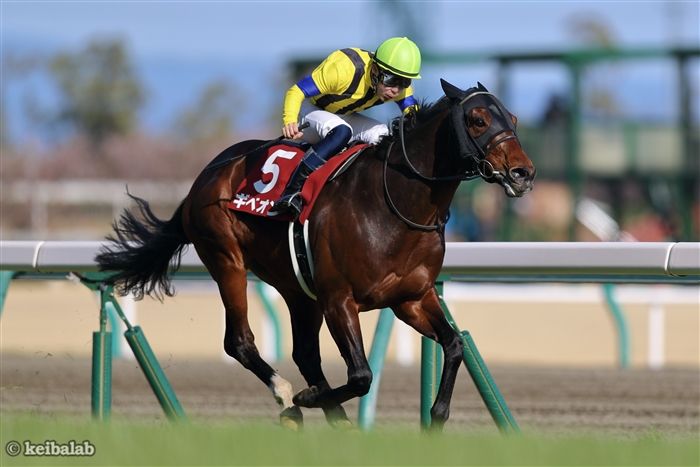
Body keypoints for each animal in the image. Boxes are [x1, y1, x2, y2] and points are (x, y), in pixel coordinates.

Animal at [96, 79, 535, 430]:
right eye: (477, 119)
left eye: (512, 118)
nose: (523, 173)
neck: (396, 204)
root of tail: (205, 176)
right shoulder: (340, 299)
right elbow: (361, 375)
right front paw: (307, 398)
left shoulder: (411, 298)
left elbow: (455, 345)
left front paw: (437, 417)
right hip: (227, 261)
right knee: (239, 342)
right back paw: (288, 396)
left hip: (297, 288)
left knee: (305, 353)